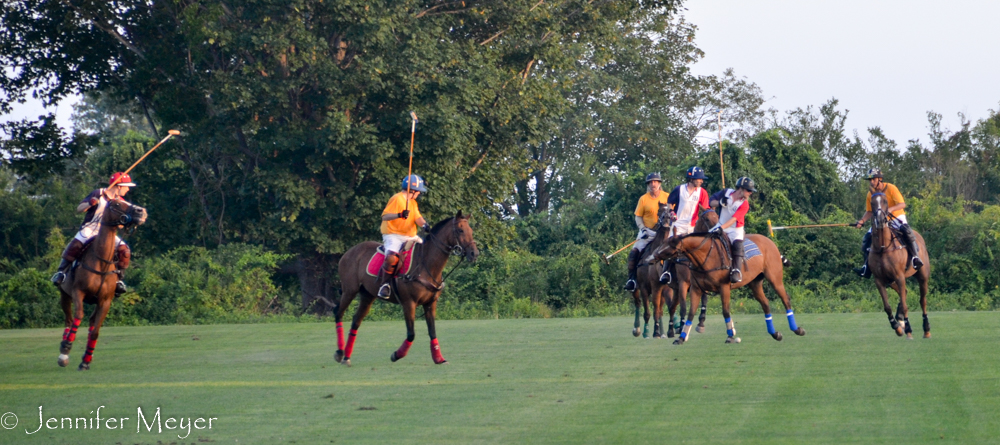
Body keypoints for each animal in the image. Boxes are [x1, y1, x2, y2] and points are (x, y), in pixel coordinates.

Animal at [56, 199, 146, 370]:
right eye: (116, 204)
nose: (141, 212)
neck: (101, 261)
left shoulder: (105, 300)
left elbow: (95, 332)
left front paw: (85, 361)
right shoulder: (78, 292)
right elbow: (79, 316)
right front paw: (66, 349)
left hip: (95, 301)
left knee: (91, 322)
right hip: (65, 295)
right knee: (69, 320)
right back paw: (64, 352)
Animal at [334, 211, 478, 364]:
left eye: (471, 231)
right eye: (460, 230)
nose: (474, 254)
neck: (426, 265)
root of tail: (348, 252)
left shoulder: (430, 304)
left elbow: (432, 331)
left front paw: (438, 358)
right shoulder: (409, 303)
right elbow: (411, 334)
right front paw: (396, 355)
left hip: (368, 295)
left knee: (356, 321)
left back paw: (346, 357)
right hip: (349, 290)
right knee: (338, 313)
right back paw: (339, 352)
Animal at [656, 208, 804, 344]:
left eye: (669, 246)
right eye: (664, 243)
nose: (656, 255)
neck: (704, 257)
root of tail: (769, 241)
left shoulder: (724, 286)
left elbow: (725, 311)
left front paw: (730, 336)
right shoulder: (695, 289)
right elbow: (690, 312)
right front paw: (681, 338)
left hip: (774, 278)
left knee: (785, 299)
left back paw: (797, 329)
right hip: (755, 282)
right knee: (765, 304)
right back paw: (775, 334)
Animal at [872, 193, 932, 338]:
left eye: (885, 201)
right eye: (872, 203)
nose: (880, 220)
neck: (883, 248)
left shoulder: (899, 276)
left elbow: (905, 305)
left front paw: (908, 329)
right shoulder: (879, 280)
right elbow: (887, 306)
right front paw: (897, 327)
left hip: (922, 276)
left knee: (922, 300)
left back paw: (926, 329)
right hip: (891, 280)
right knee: (904, 292)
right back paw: (900, 321)